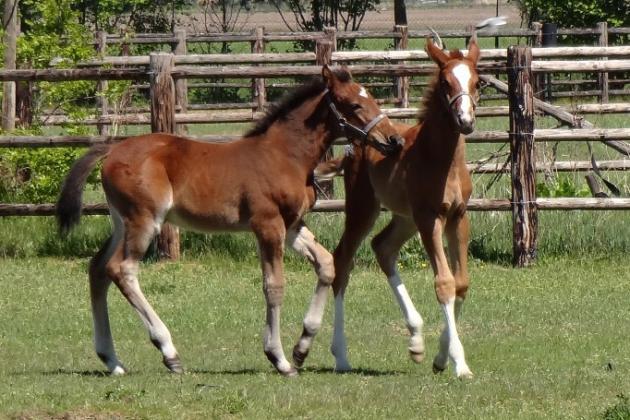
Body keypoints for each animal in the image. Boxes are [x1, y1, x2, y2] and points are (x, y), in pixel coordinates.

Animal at [59, 65, 404, 378]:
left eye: (373, 98)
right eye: (355, 105)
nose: (394, 140)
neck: (286, 155)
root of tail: (114, 148)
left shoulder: (292, 225)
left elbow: (327, 265)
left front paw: (302, 347)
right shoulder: (267, 225)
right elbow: (274, 286)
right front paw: (279, 359)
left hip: (122, 222)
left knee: (97, 268)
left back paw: (112, 360)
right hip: (145, 220)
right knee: (122, 269)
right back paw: (169, 352)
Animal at [312, 36, 484, 378]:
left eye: (477, 81)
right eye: (446, 82)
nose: (465, 121)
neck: (440, 157)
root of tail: (356, 144)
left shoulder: (459, 216)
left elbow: (461, 283)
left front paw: (440, 357)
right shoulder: (430, 217)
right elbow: (444, 283)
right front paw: (459, 363)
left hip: (405, 218)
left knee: (383, 247)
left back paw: (416, 339)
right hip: (365, 208)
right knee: (342, 261)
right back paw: (341, 356)